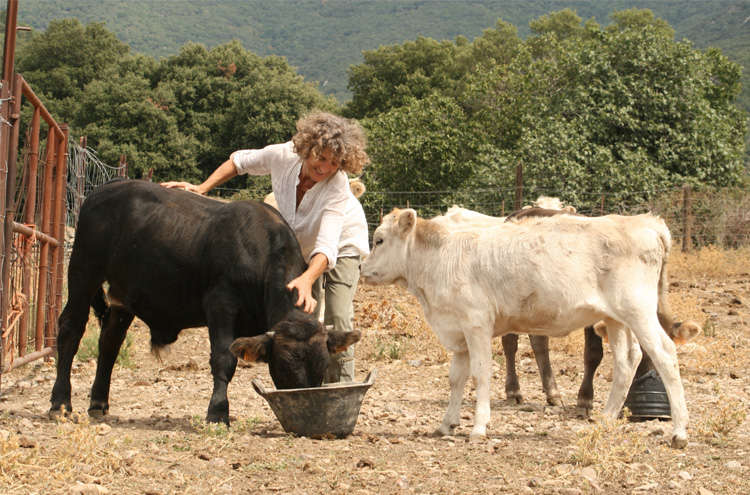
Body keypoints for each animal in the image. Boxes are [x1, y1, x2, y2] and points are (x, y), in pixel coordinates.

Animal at [50, 180, 362, 424]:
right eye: (284, 363)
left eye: (322, 364)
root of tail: (101, 191)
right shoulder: (220, 305)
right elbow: (223, 358)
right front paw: (218, 412)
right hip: (82, 271)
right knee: (70, 329)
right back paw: (60, 402)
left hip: (122, 296)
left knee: (110, 343)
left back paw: (99, 403)